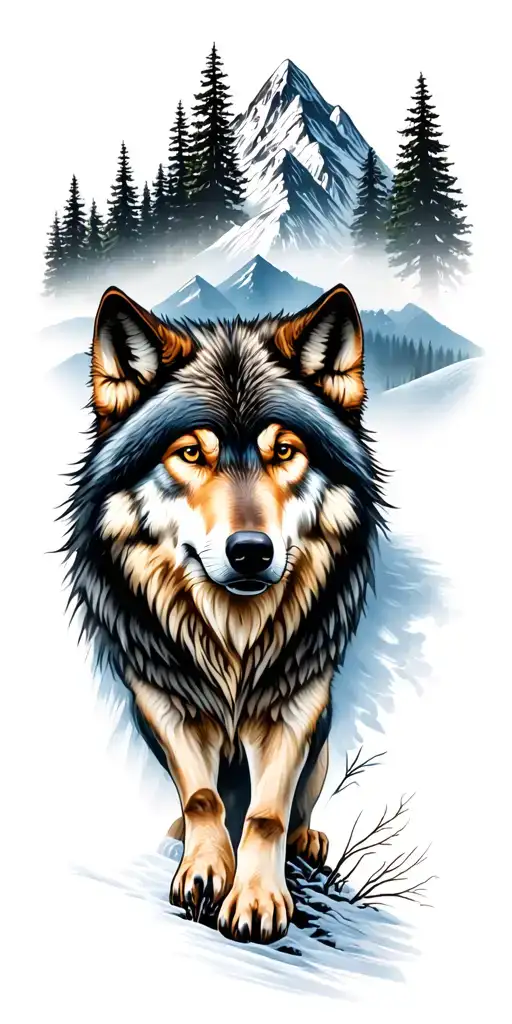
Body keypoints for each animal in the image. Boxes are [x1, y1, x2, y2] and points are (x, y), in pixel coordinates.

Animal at [64, 281, 384, 944]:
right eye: (190, 453)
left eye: (284, 450)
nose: (251, 551)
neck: (233, 638)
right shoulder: (160, 697)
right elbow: (202, 798)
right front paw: (205, 870)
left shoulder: (297, 705)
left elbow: (266, 815)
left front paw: (257, 898)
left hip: (323, 739)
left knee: (299, 808)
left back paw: (309, 840)